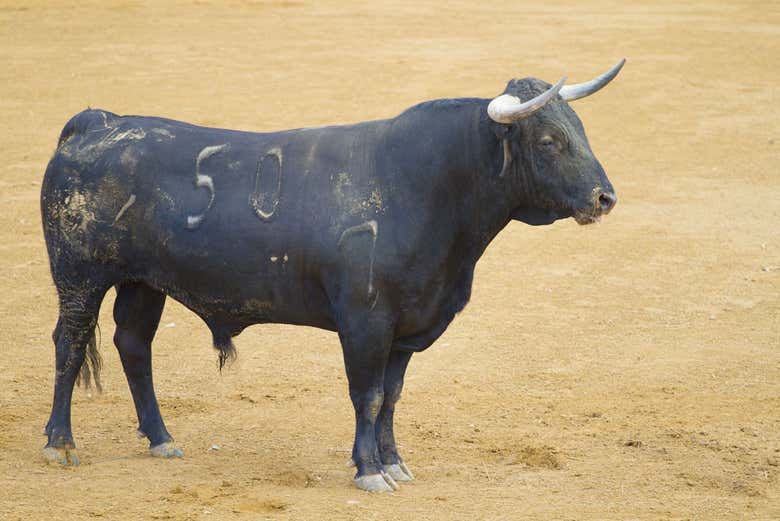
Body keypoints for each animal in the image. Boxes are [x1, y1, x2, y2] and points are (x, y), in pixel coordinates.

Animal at [42, 60, 624, 492]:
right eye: (548, 140)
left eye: (580, 130)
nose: (604, 198)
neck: (426, 185)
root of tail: (98, 123)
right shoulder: (365, 322)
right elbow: (367, 395)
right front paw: (369, 472)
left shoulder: (406, 329)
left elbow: (391, 396)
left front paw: (394, 464)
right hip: (80, 276)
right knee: (70, 343)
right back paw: (60, 444)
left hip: (144, 281)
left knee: (133, 344)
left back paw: (161, 439)